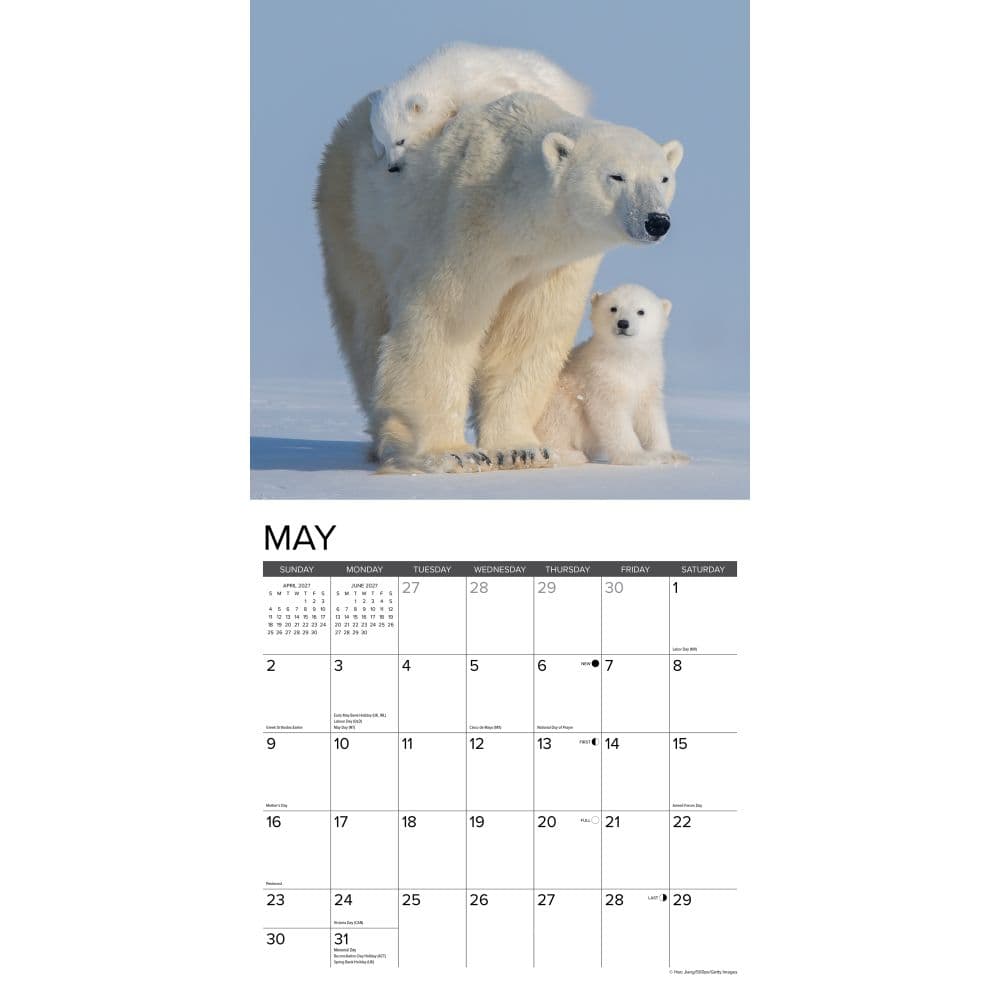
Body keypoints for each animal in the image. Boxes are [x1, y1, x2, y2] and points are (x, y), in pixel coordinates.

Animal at [369, 42, 589, 171]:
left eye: (401, 140)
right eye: (384, 141)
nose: (392, 167)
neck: (444, 74)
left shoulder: (476, 85)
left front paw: (450, 123)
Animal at [535, 283, 689, 466]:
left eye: (641, 311)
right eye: (613, 308)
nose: (623, 323)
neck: (625, 358)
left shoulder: (648, 378)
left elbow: (650, 417)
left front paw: (671, 454)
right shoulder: (600, 378)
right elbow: (612, 415)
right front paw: (637, 456)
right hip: (556, 401)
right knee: (558, 421)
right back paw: (572, 455)